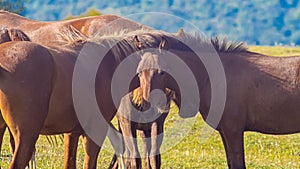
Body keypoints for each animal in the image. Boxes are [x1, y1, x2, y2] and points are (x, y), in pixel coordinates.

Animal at [132, 29, 300, 168]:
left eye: (161, 72)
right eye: (139, 72)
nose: (148, 106)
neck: (211, 77)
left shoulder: (233, 130)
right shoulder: (225, 131)